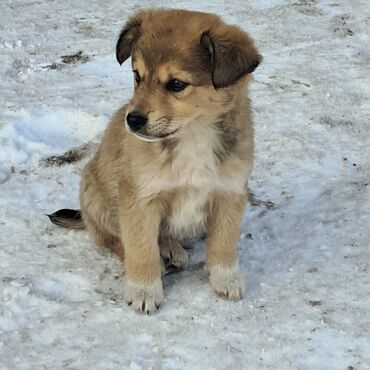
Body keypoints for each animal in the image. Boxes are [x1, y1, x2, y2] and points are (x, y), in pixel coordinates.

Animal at [49, 8, 262, 312]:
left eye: (176, 84)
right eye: (137, 76)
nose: (133, 120)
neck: (193, 135)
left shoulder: (229, 192)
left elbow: (224, 241)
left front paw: (227, 279)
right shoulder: (139, 198)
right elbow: (140, 248)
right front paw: (144, 291)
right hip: (95, 194)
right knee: (112, 239)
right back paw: (164, 255)